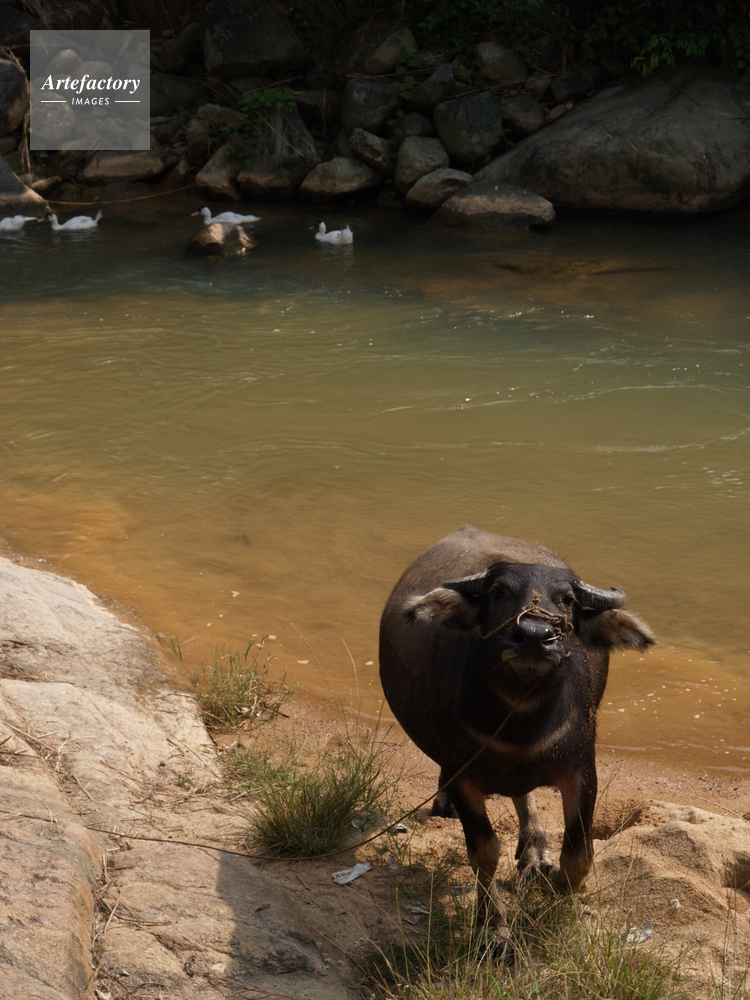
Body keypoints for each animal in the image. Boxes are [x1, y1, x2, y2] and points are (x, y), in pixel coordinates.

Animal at [379, 526, 654, 959]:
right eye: (497, 592)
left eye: (567, 599)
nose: (535, 637)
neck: (521, 726)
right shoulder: (462, 773)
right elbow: (483, 852)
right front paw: (493, 930)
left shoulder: (582, 769)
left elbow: (579, 855)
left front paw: (554, 898)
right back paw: (445, 805)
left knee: (524, 796)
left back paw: (535, 851)